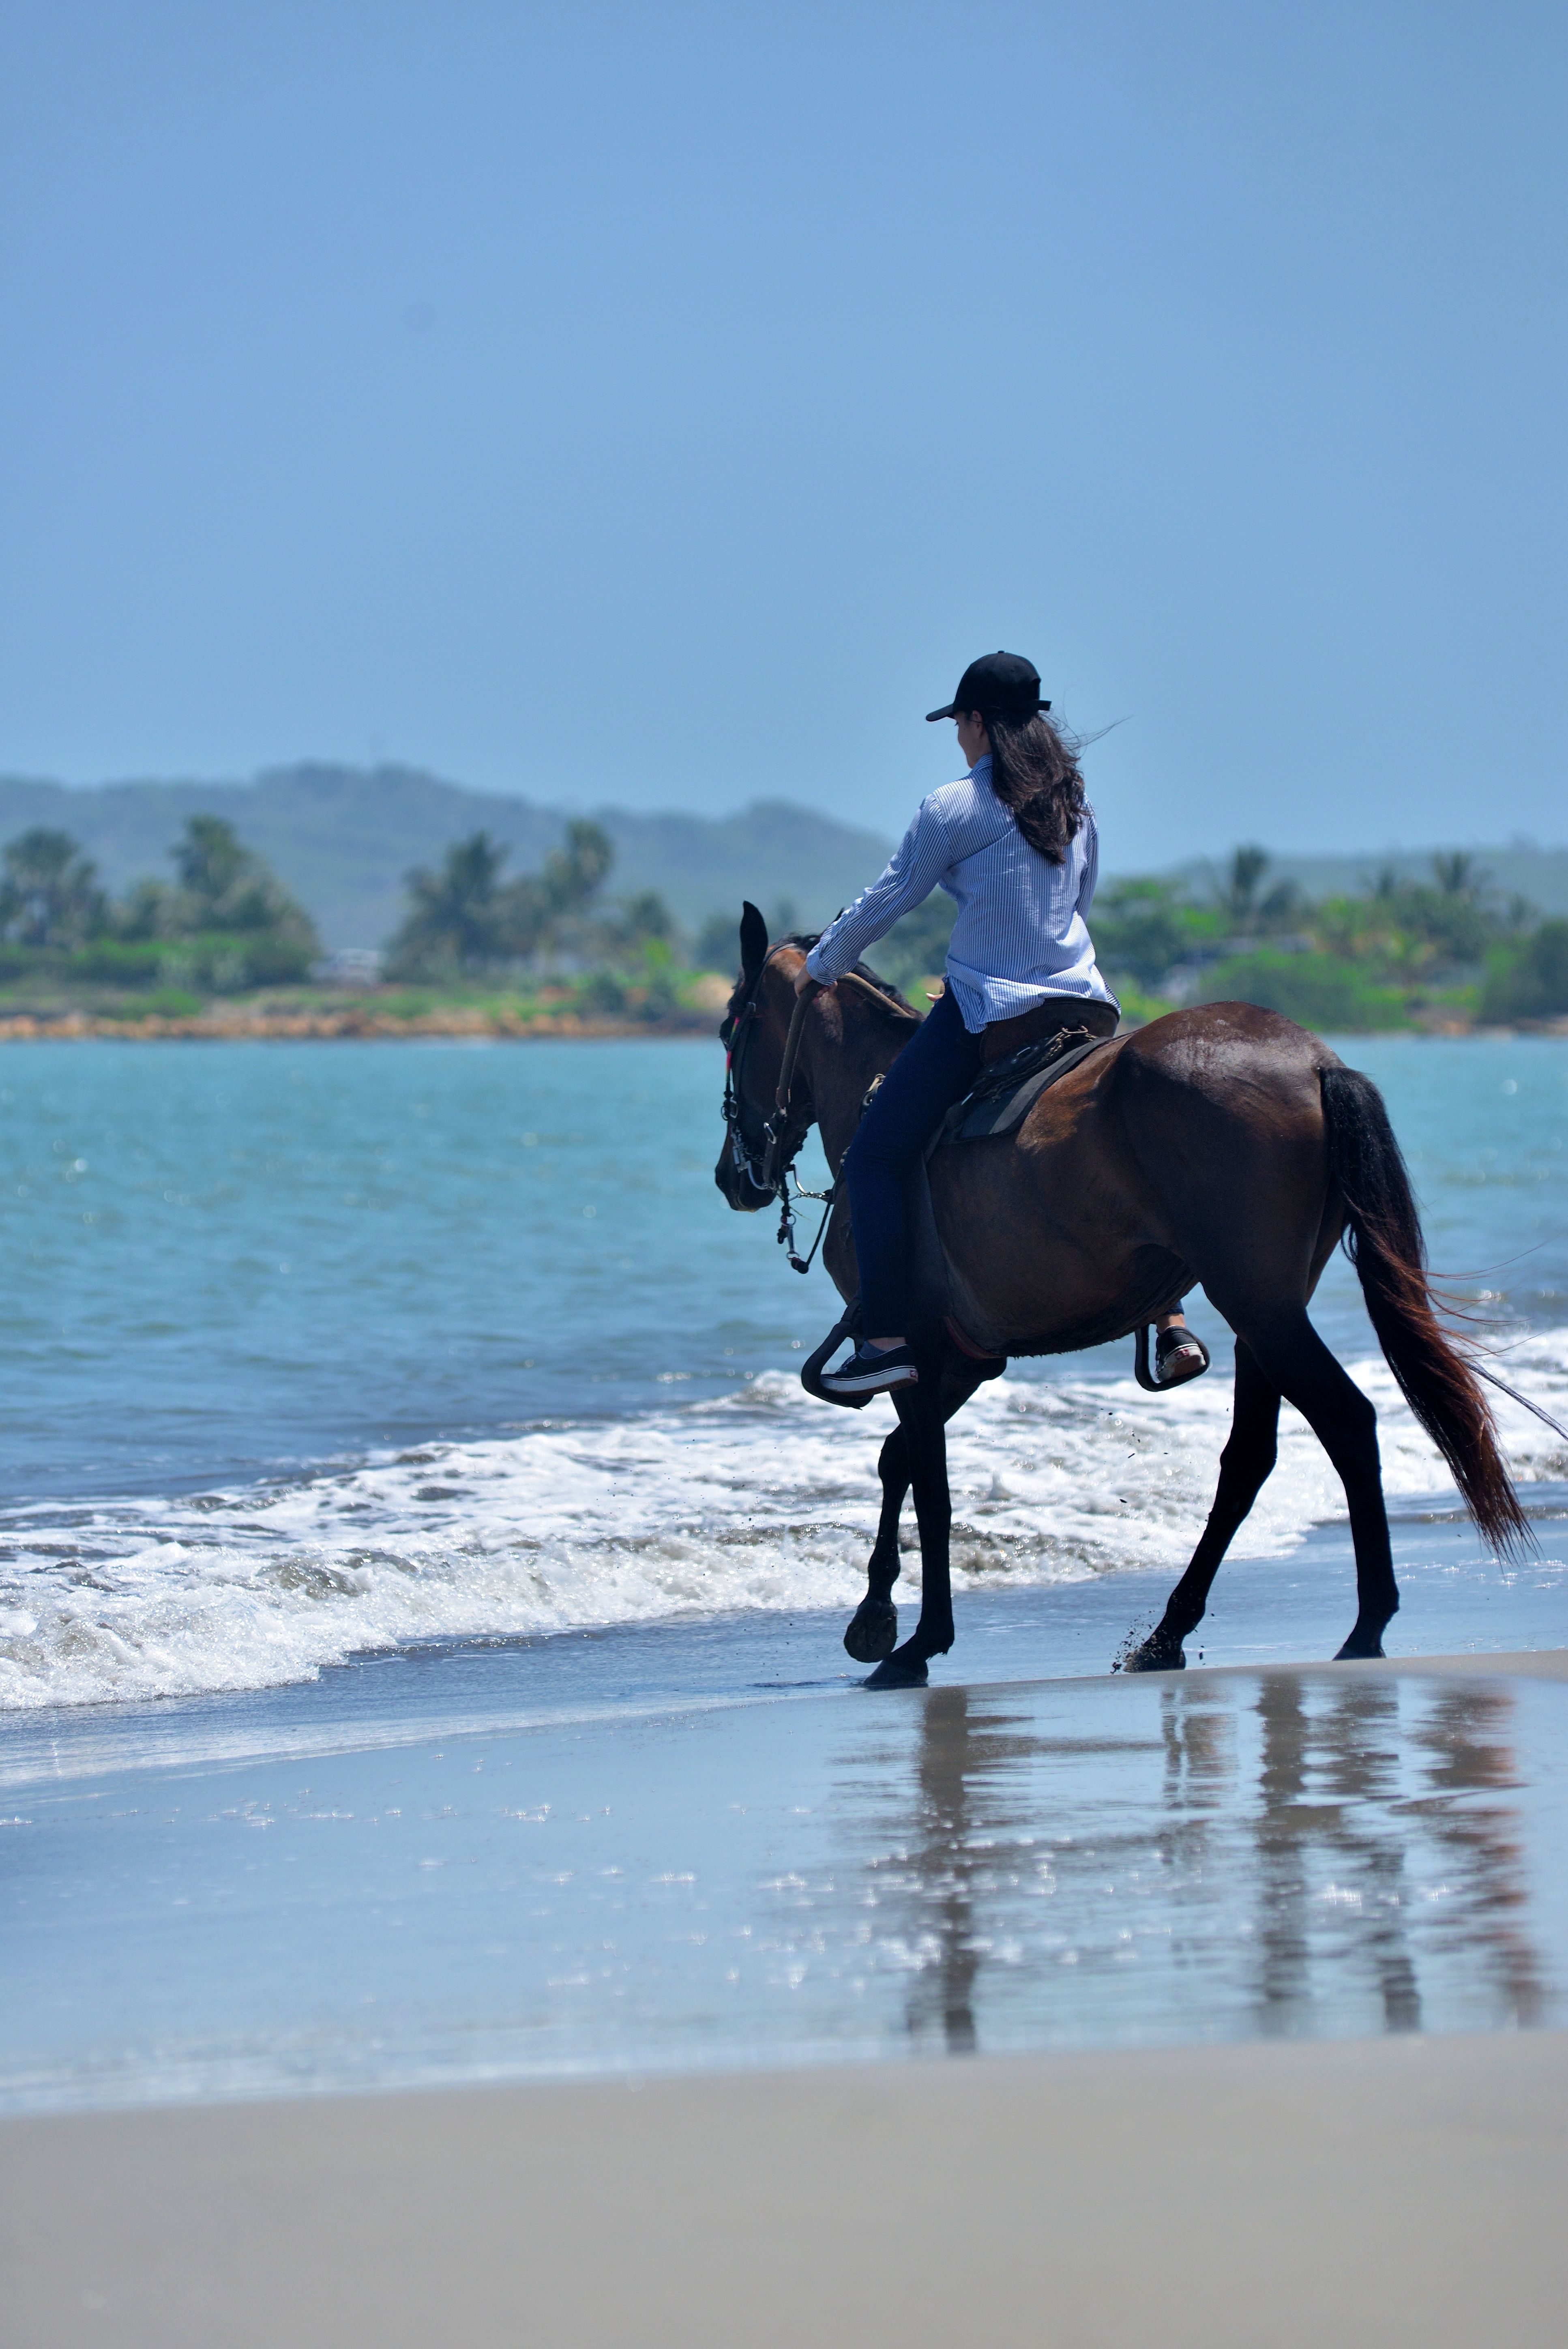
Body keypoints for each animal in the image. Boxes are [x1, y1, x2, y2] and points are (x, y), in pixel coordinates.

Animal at [714, 903, 1528, 1688]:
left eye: (729, 1029)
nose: (731, 1176)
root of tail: (1316, 1061)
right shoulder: (966, 1357)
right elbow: (899, 1465)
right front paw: (874, 1615)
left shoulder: (914, 1347)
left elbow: (933, 1490)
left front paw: (917, 1641)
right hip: (1265, 1310)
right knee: (1248, 1457)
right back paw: (1169, 1633)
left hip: (1258, 1305)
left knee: (1347, 1422)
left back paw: (1366, 1626)